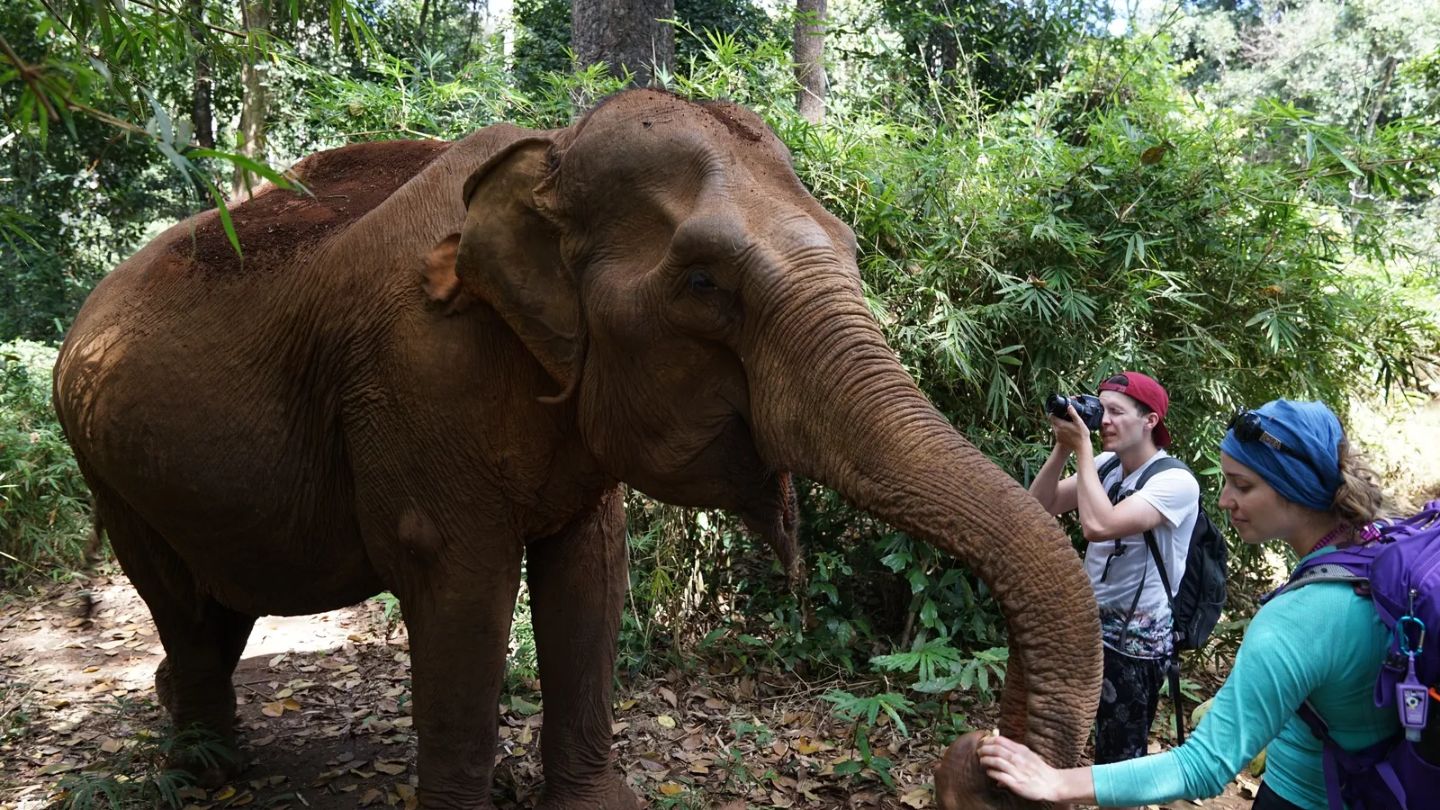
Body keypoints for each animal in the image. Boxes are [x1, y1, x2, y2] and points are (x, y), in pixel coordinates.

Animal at [52, 89, 1100, 809]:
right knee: (184, 605)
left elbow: (590, 573)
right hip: (105, 462)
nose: (976, 767)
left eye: (849, 249)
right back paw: (207, 771)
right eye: (705, 283)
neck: (546, 157)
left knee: (215, 609)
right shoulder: (414, 376)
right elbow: (463, 587)